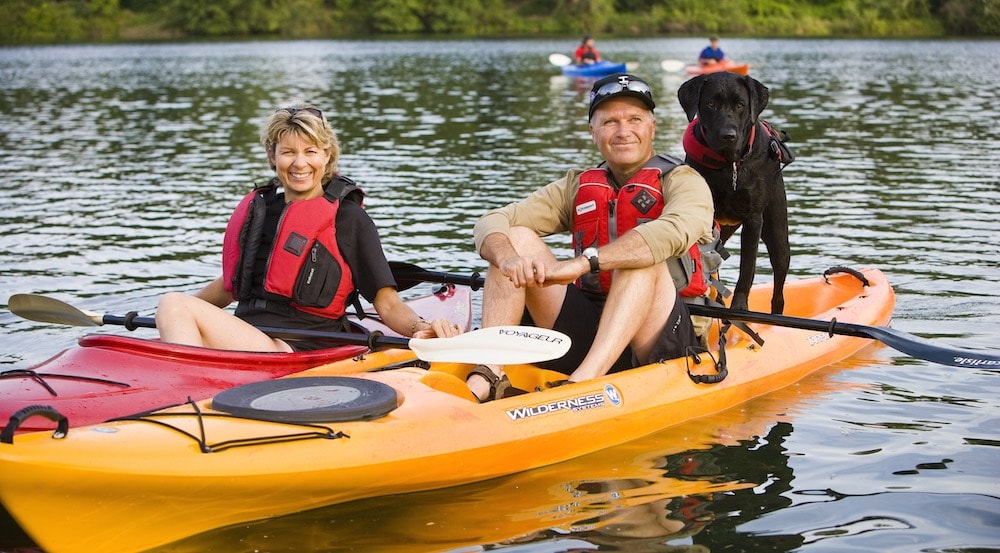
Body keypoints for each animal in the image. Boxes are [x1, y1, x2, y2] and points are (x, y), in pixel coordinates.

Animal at [676, 72, 792, 314]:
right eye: (710, 104)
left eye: (740, 104)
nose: (727, 135)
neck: (729, 165)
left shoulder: (754, 219)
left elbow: (747, 266)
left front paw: (739, 306)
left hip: (778, 235)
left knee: (778, 293)